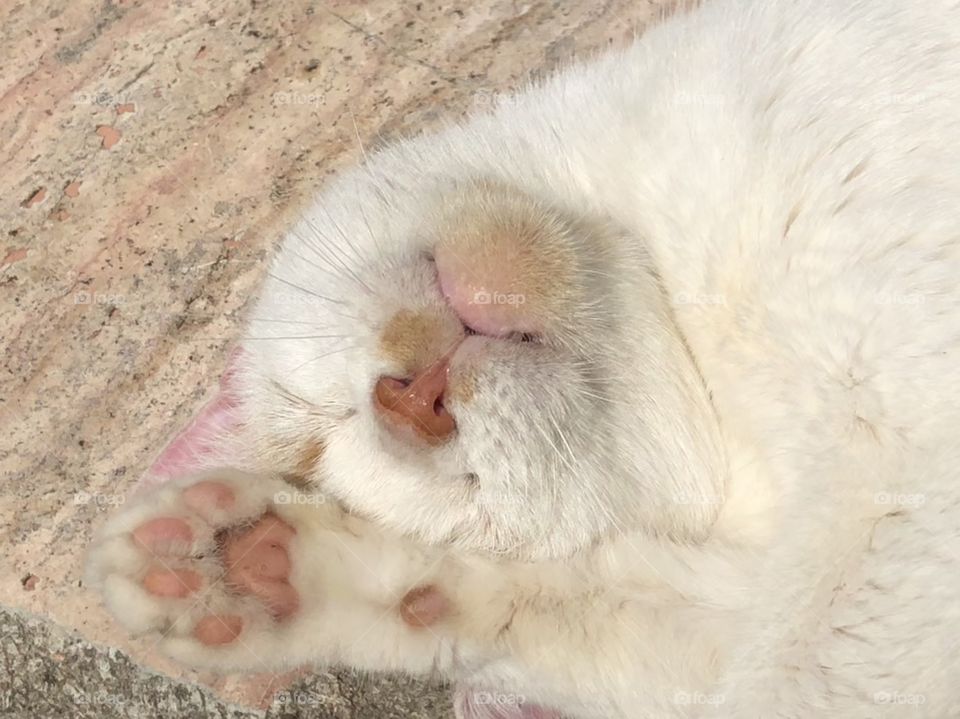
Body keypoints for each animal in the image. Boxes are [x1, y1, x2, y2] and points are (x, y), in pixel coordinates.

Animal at [86, 1, 960, 716]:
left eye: (311, 426)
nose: (408, 402)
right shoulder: (881, 512)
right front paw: (259, 568)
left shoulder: (900, 461)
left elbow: (791, 668)